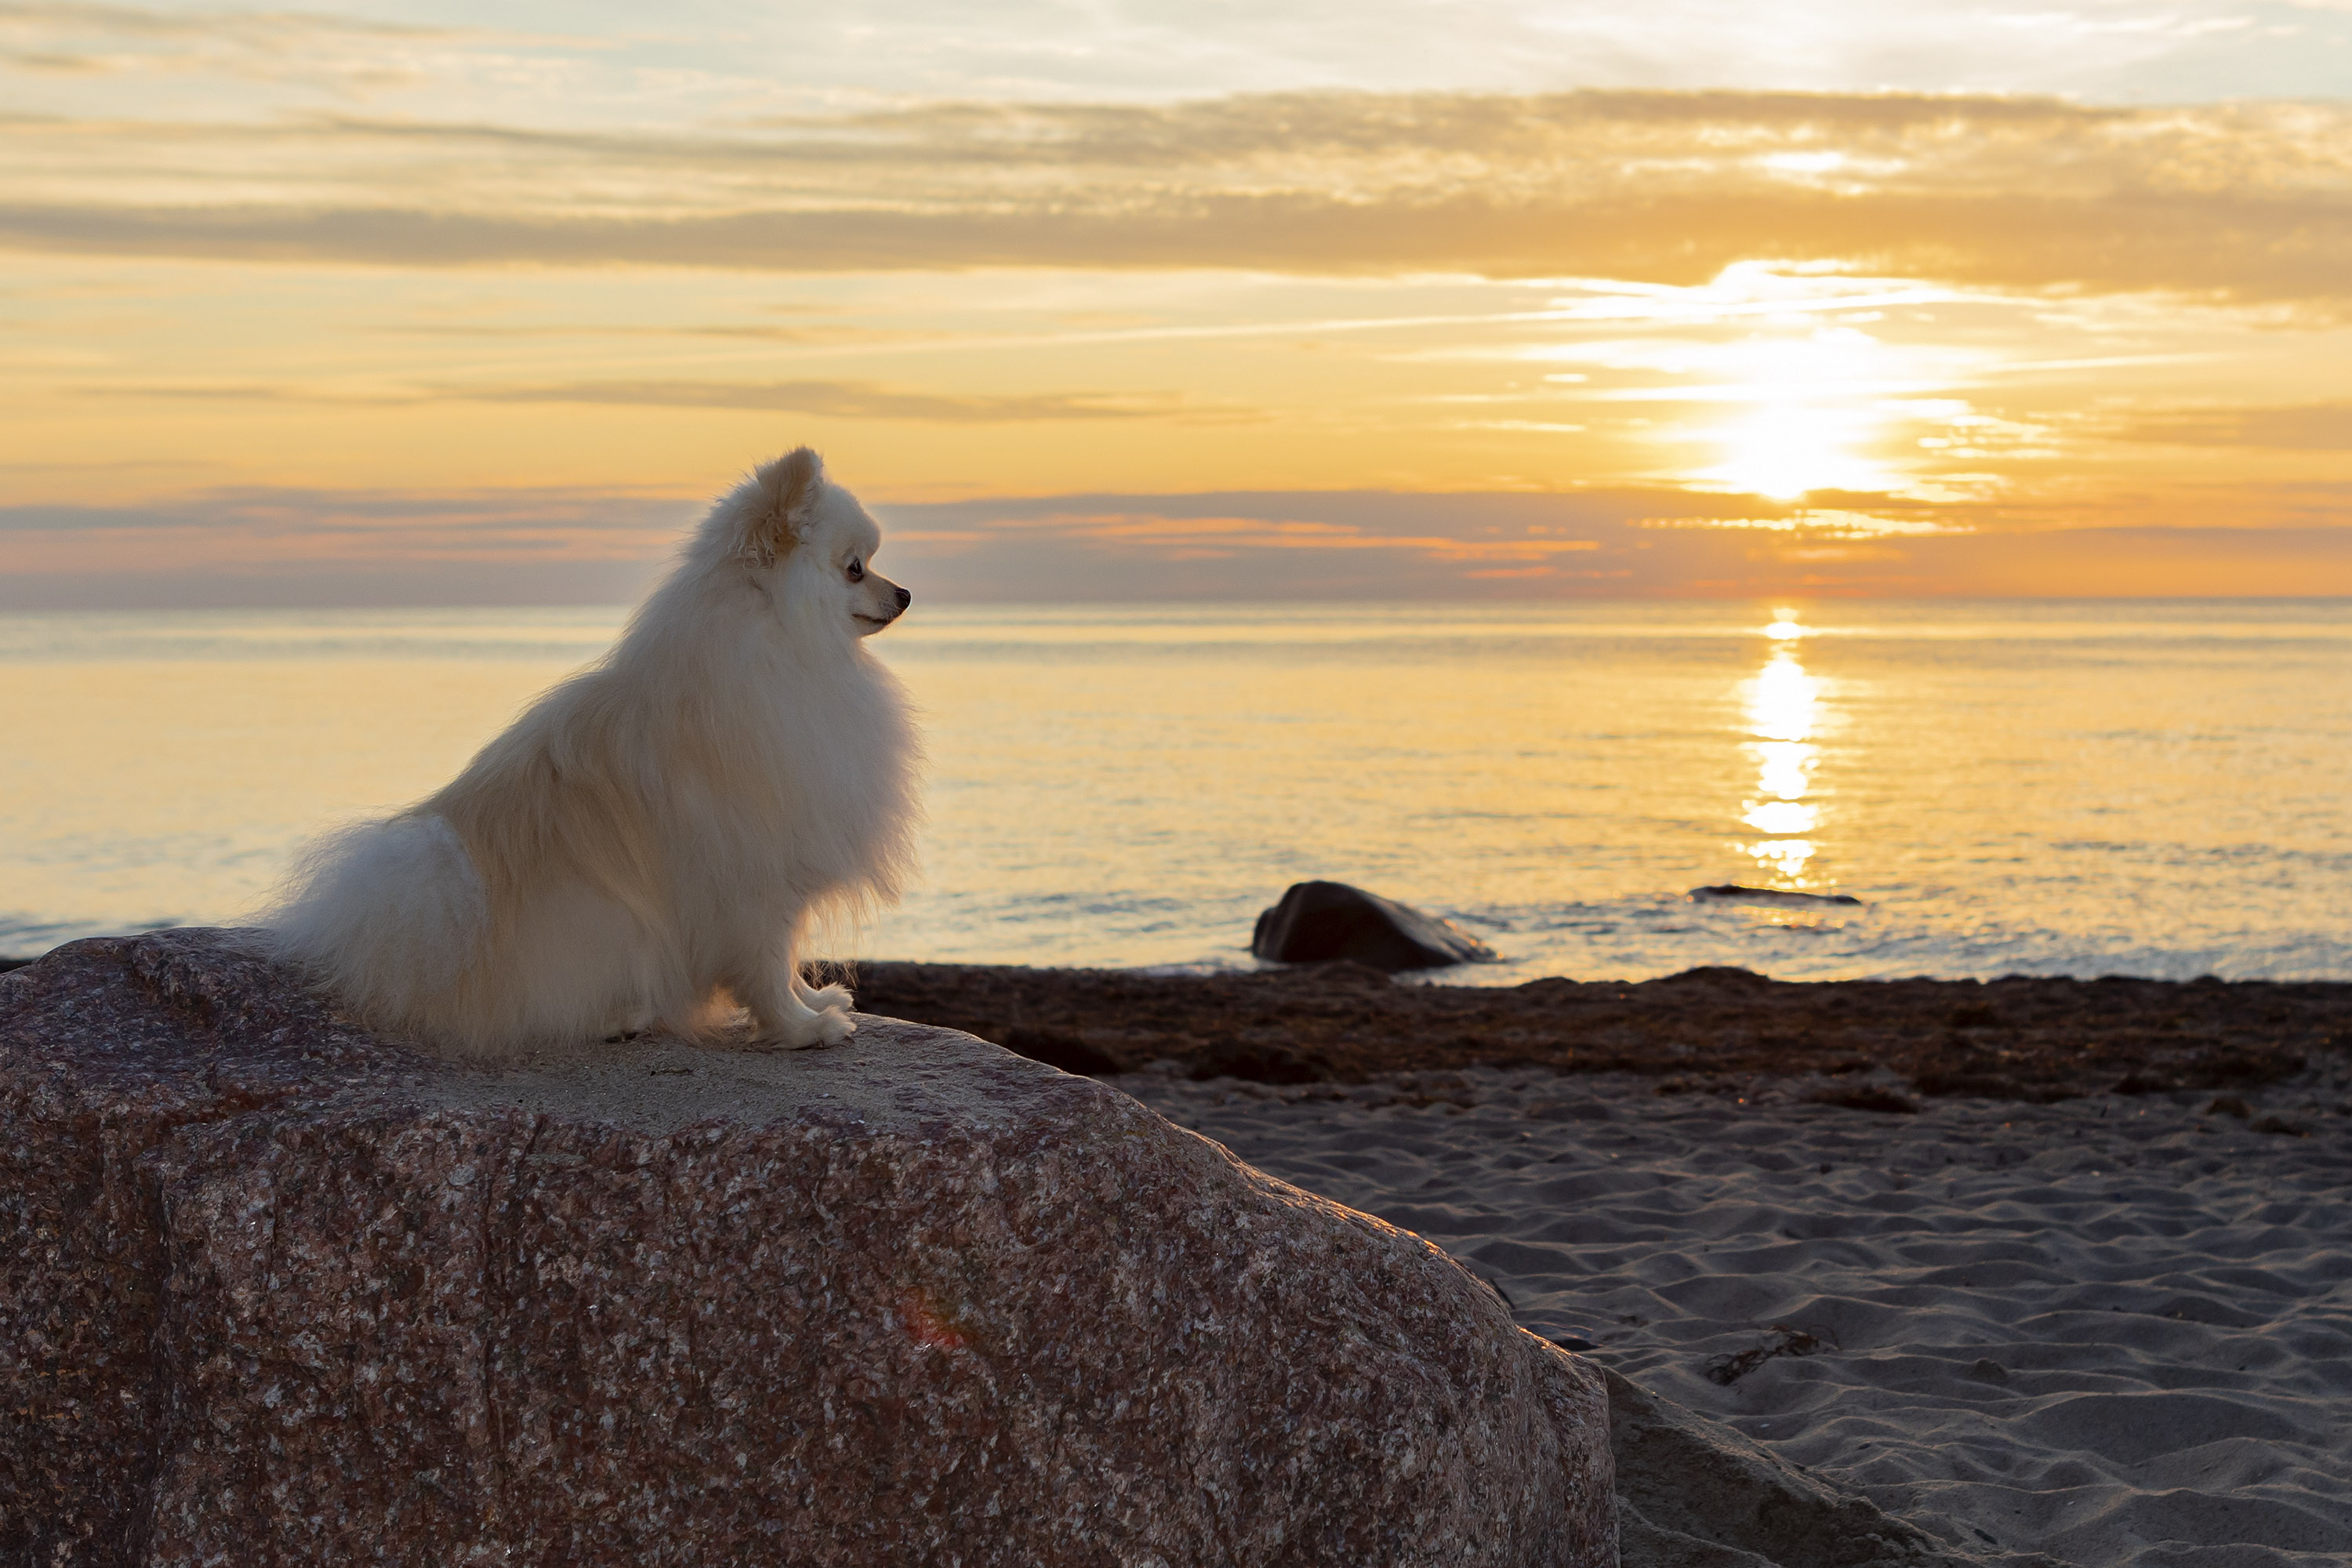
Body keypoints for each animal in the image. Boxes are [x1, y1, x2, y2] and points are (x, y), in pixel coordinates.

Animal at [260, 451, 917, 1067]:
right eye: (855, 569)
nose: (906, 592)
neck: (782, 647)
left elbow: (784, 958)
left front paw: (815, 1001)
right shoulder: (750, 873)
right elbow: (765, 964)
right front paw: (802, 1029)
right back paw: (618, 1016)